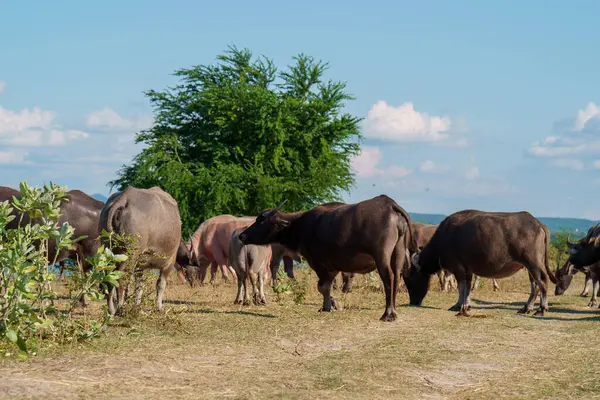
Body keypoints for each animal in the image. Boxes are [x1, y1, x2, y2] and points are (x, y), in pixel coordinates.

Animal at [99, 186, 180, 314]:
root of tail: (125, 197)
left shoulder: (140, 265)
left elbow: (139, 286)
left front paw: (137, 306)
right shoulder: (169, 261)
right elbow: (160, 284)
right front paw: (159, 307)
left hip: (109, 250)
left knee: (109, 278)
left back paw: (111, 309)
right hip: (130, 254)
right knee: (122, 278)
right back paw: (121, 307)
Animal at [239, 195, 418, 322]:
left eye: (262, 221)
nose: (242, 235)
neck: (301, 226)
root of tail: (389, 204)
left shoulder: (319, 264)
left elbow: (322, 286)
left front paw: (328, 305)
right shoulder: (333, 267)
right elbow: (327, 286)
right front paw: (332, 303)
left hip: (381, 255)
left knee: (388, 278)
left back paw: (387, 314)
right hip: (398, 253)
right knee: (396, 277)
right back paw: (394, 312)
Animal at [404, 211, 556, 318]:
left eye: (409, 279)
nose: (413, 301)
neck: (444, 237)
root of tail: (537, 223)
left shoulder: (458, 268)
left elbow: (461, 287)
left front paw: (459, 305)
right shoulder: (468, 270)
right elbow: (467, 288)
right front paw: (466, 305)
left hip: (533, 263)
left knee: (542, 281)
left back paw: (541, 309)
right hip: (529, 266)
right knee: (534, 285)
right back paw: (526, 308)